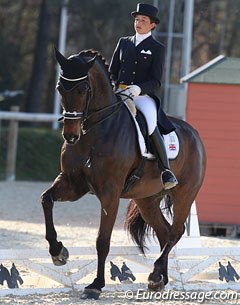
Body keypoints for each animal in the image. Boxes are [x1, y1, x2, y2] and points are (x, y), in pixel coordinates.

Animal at [41, 48, 206, 298]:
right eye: (60, 87)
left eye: (83, 89)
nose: (70, 136)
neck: (94, 131)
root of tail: (195, 135)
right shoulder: (73, 184)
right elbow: (46, 199)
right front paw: (58, 252)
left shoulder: (110, 193)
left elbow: (102, 240)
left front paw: (95, 285)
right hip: (147, 200)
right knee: (164, 232)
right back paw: (160, 279)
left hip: (184, 195)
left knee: (176, 231)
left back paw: (156, 274)